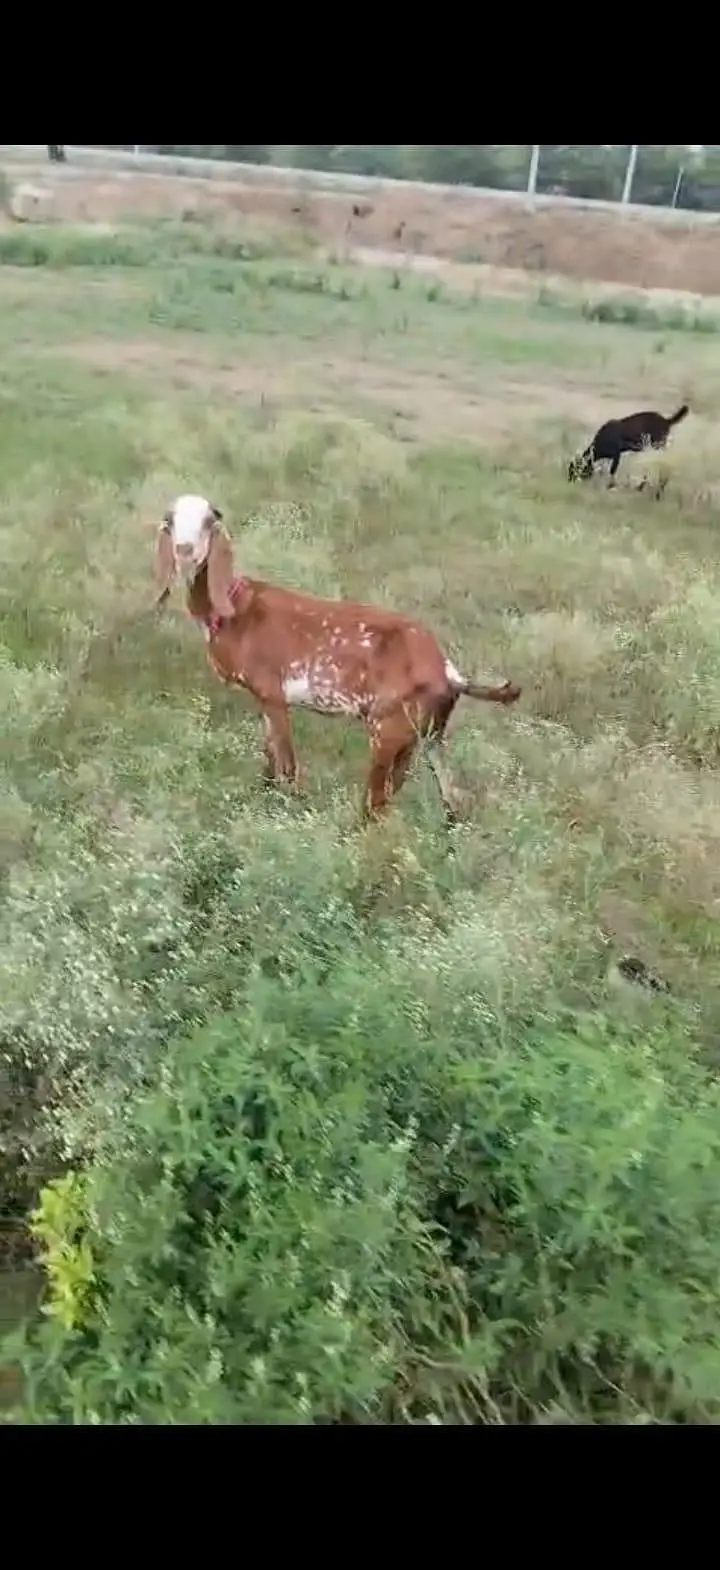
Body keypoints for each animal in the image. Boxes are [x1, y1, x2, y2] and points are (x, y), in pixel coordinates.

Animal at [155, 495, 521, 822]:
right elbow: (269, 761)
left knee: (376, 805)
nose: (185, 551)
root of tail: (448, 673)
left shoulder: (272, 694)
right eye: (170, 520)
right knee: (451, 800)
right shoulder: (262, 700)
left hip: (388, 731)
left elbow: (288, 765)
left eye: (209, 520)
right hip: (429, 736)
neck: (236, 608)